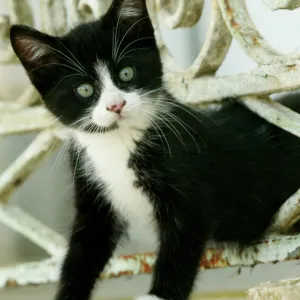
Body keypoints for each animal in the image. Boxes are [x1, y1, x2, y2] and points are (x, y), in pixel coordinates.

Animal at [10, 0, 300, 300]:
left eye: (126, 73)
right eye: (84, 89)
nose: (116, 105)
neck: (118, 143)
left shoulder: (188, 188)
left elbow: (181, 246)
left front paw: (159, 295)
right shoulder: (92, 193)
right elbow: (82, 252)